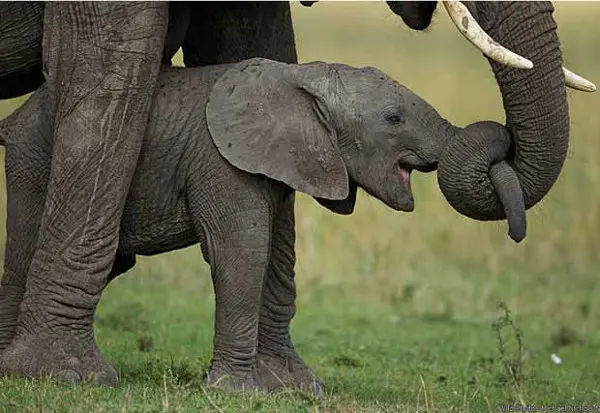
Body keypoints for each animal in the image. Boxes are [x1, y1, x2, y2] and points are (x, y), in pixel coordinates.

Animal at [0, 58, 450, 392]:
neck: (306, 77)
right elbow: (241, 251)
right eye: (393, 119)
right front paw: (237, 392)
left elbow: (269, 250)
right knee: (25, 251)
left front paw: (292, 389)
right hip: (35, 160)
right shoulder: (220, 161)